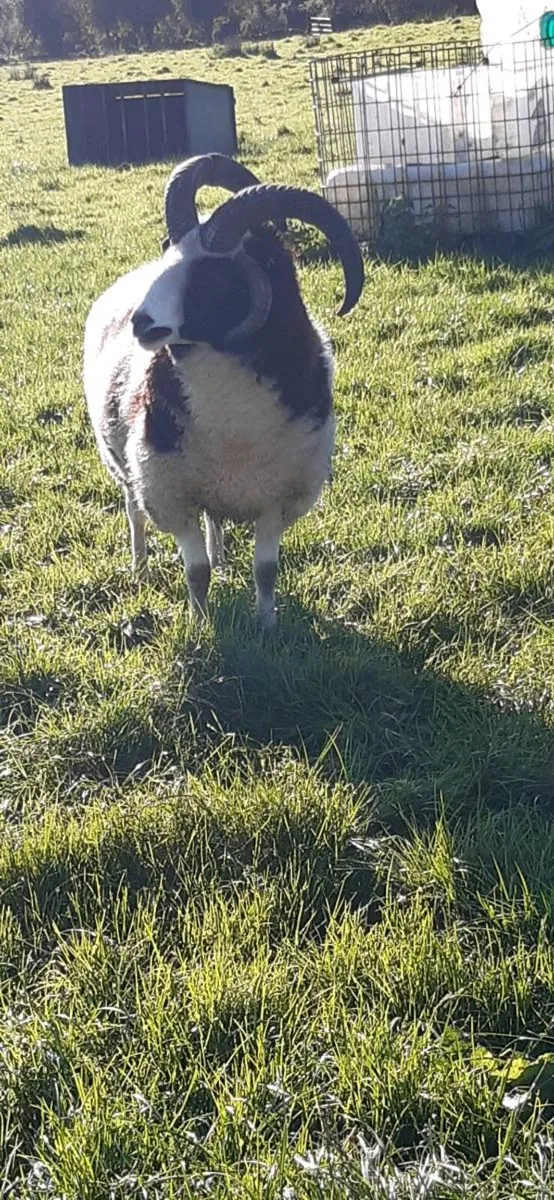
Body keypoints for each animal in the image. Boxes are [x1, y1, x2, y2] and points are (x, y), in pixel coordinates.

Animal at [84, 154, 364, 627]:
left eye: (212, 275)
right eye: (167, 251)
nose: (142, 322)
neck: (236, 423)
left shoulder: (276, 500)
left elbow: (266, 570)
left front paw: (267, 625)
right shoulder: (171, 494)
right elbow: (195, 573)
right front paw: (200, 623)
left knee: (214, 522)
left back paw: (221, 558)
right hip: (125, 467)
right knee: (134, 512)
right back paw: (139, 567)